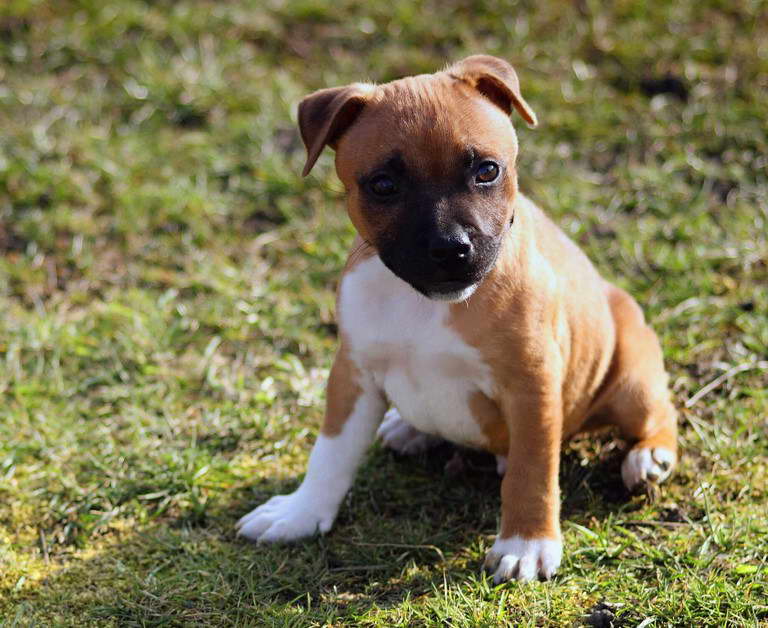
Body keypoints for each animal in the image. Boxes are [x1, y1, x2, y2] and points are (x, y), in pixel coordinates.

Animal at [236, 56, 680, 580]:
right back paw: (407, 429)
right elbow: (330, 451)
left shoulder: (532, 387)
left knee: (659, 411)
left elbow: (532, 471)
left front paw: (526, 543)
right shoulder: (352, 372)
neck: (425, 303)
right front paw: (300, 513)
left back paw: (649, 455)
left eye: (487, 171)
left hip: (630, 378)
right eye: (383, 185)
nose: (450, 248)